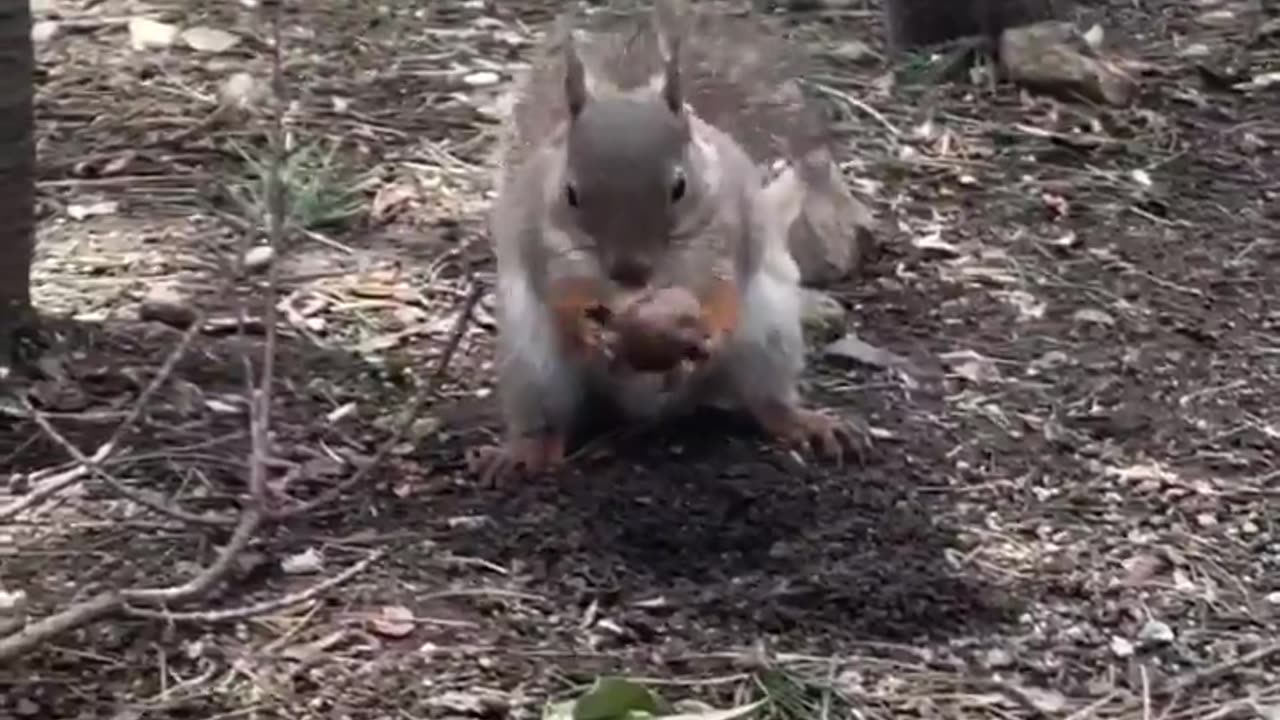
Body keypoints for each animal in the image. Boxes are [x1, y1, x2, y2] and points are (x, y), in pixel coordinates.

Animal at [469, 1, 867, 482]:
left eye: (679, 187)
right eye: (571, 193)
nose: (629, 272)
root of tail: (647, 412)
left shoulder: (726, 231)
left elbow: (722, 288)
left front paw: (703, 327)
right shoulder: (543, 242)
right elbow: (562, 292)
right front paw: (594, 330)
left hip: (768, 338)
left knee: (764, 399)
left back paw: (805, 423)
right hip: (533, 366)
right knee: (549, 419)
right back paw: (525, 450)